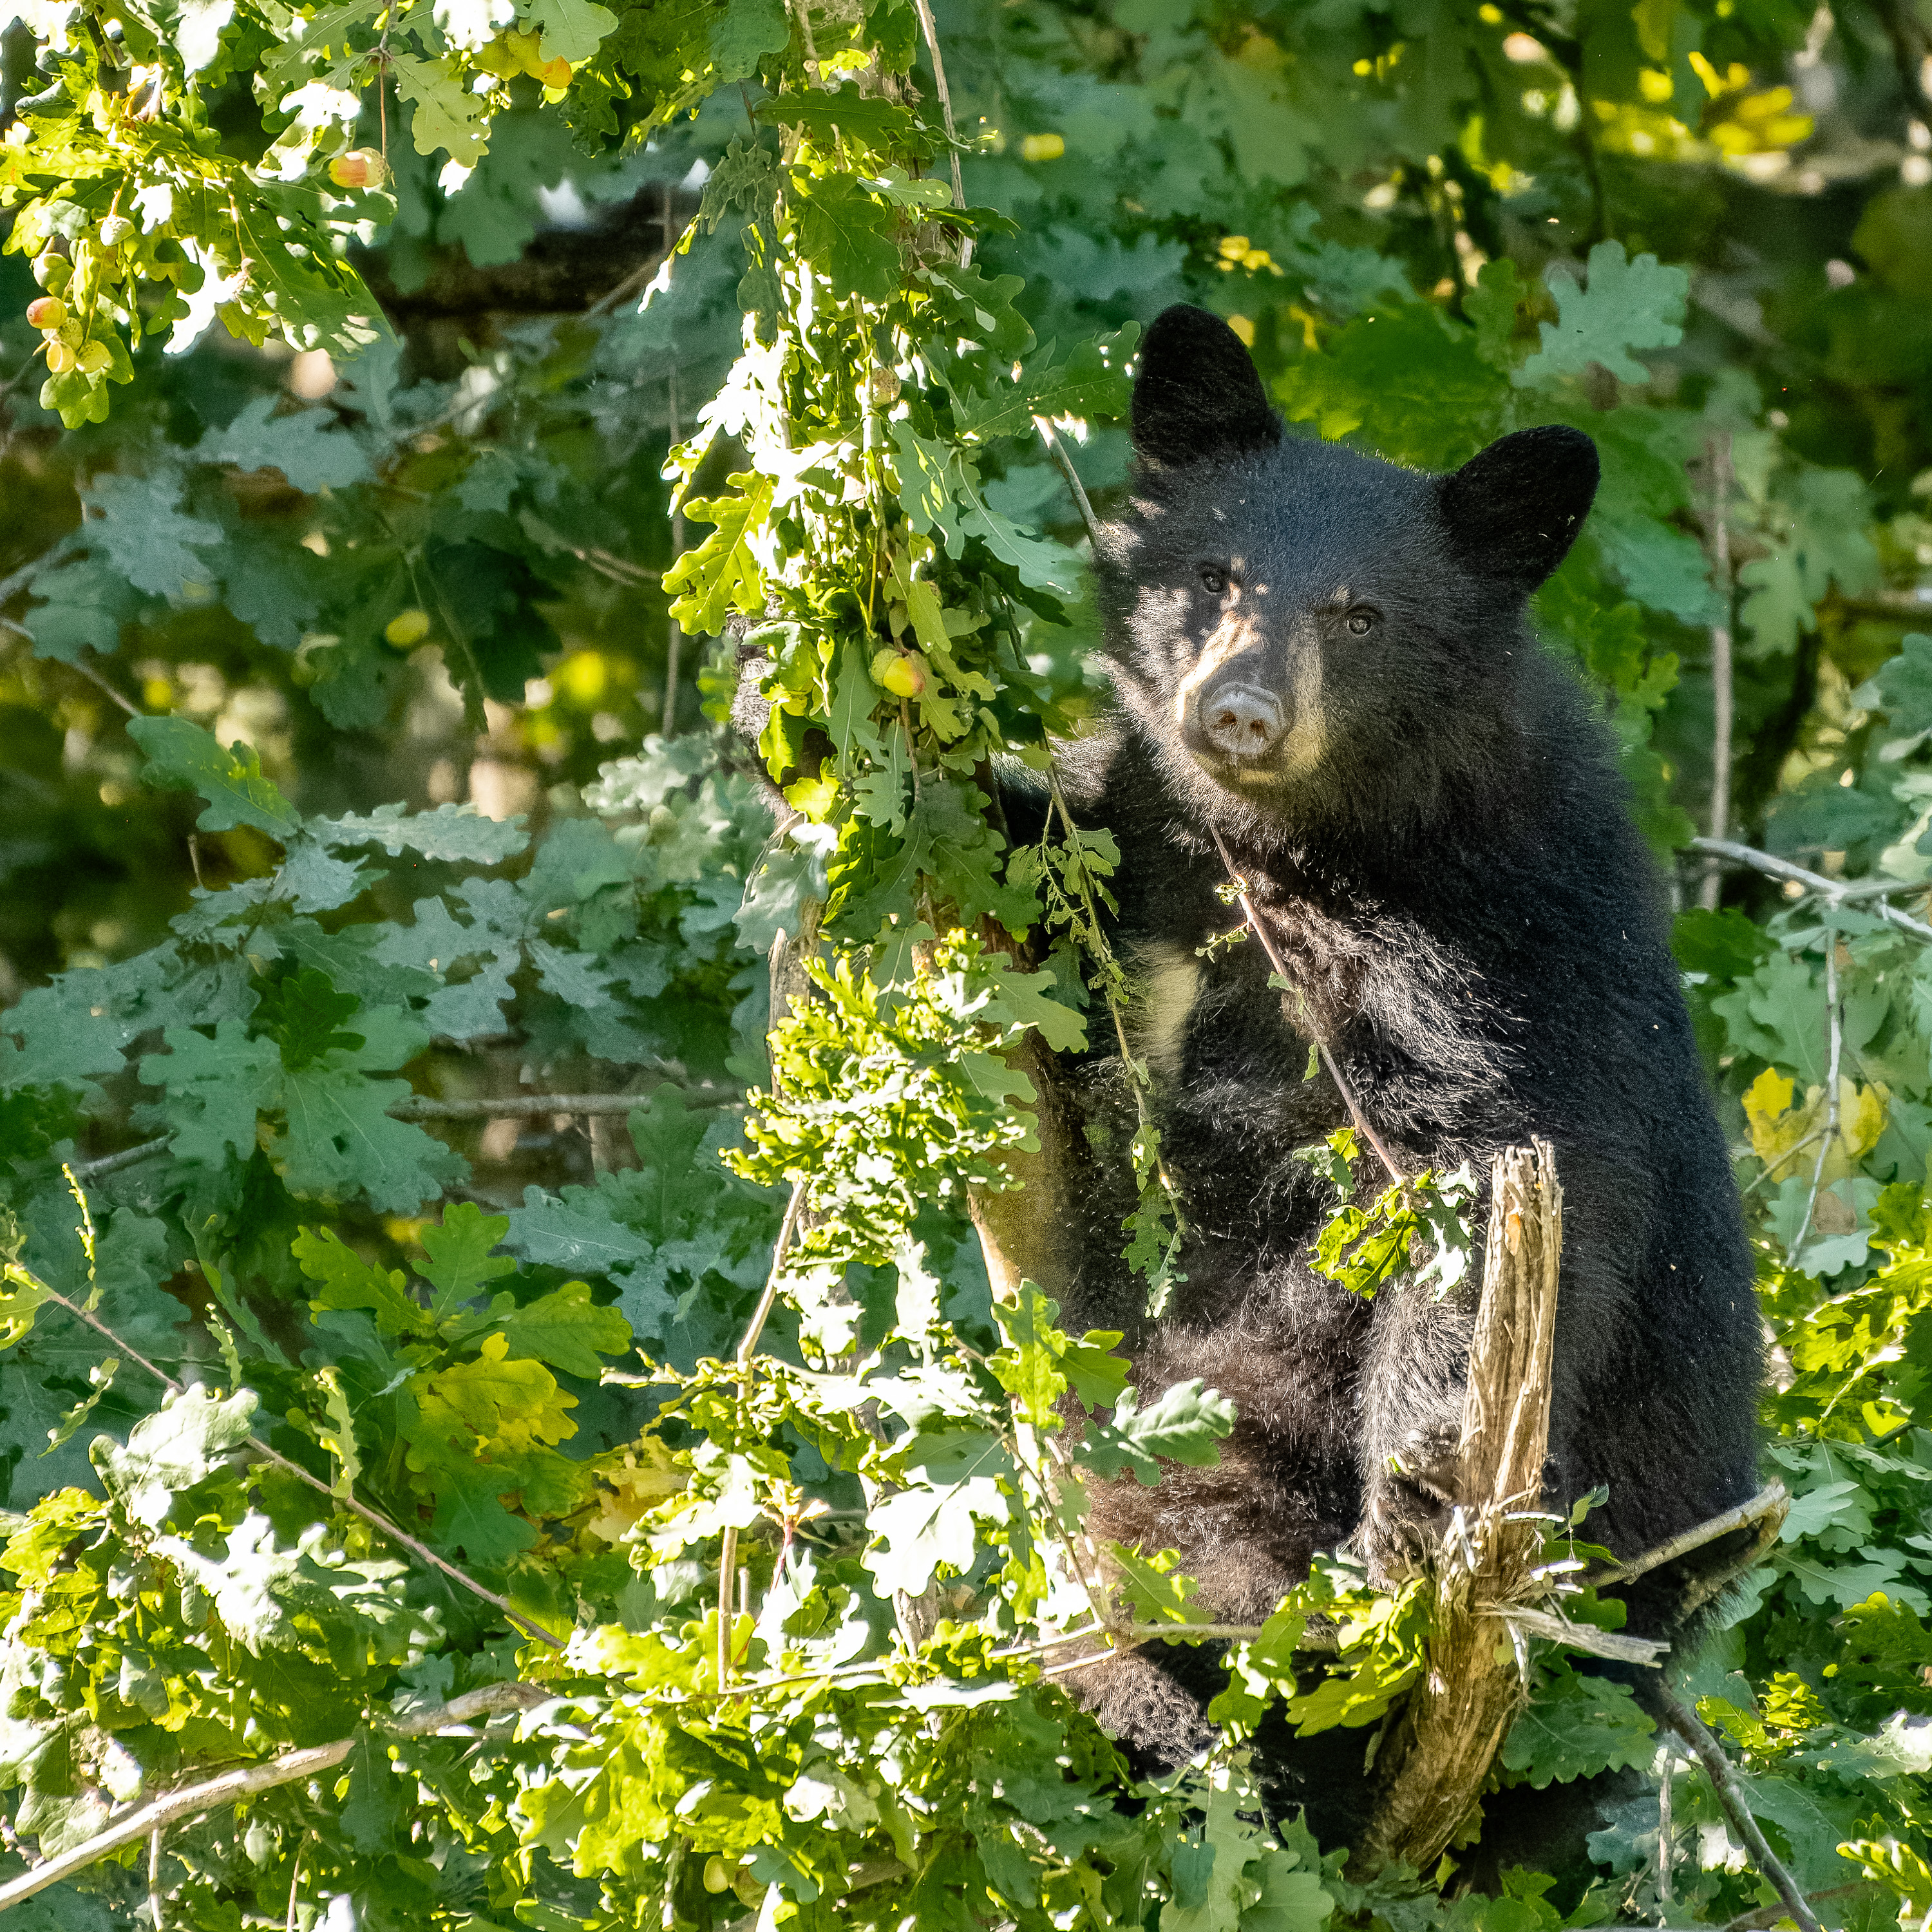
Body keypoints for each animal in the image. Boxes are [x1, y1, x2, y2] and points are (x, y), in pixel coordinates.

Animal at [1015, 304, 1764, 1832]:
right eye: (1216, 575)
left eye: (1360, 616)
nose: (1239, 711)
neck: (1297, 850)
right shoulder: (1140, 857)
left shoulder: (1499, 965)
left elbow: (1487, 1216)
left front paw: (1406, 1533)